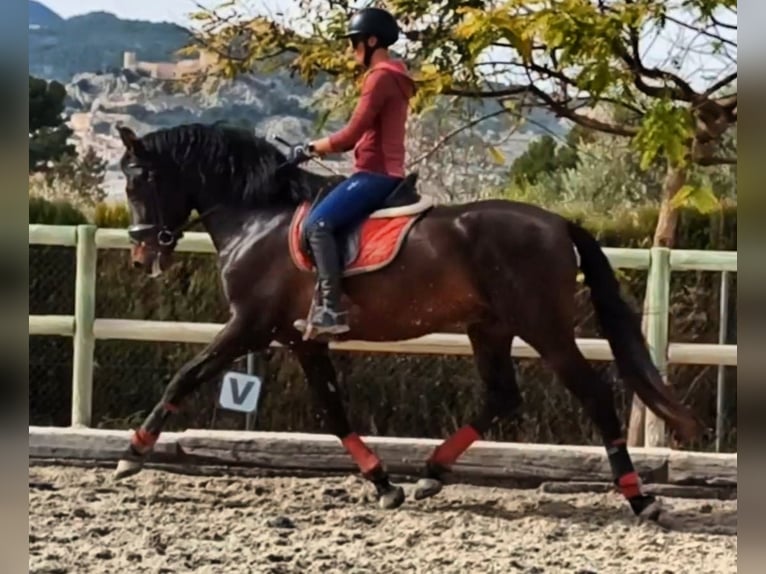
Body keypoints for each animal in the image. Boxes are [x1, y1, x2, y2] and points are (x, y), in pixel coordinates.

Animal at [112, 124, 704, 520]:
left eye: (137, 182)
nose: (141, 256)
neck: (258, 219)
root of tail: (558, 222)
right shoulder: (301, 340)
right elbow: (332, 409)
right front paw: (383, 483)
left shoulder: (249, 326)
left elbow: (185, 377)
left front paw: (131, 456)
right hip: (490, 326)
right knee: (502, 396)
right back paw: (431, 474)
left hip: (545, 328)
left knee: (593, 395)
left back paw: (639, 497)